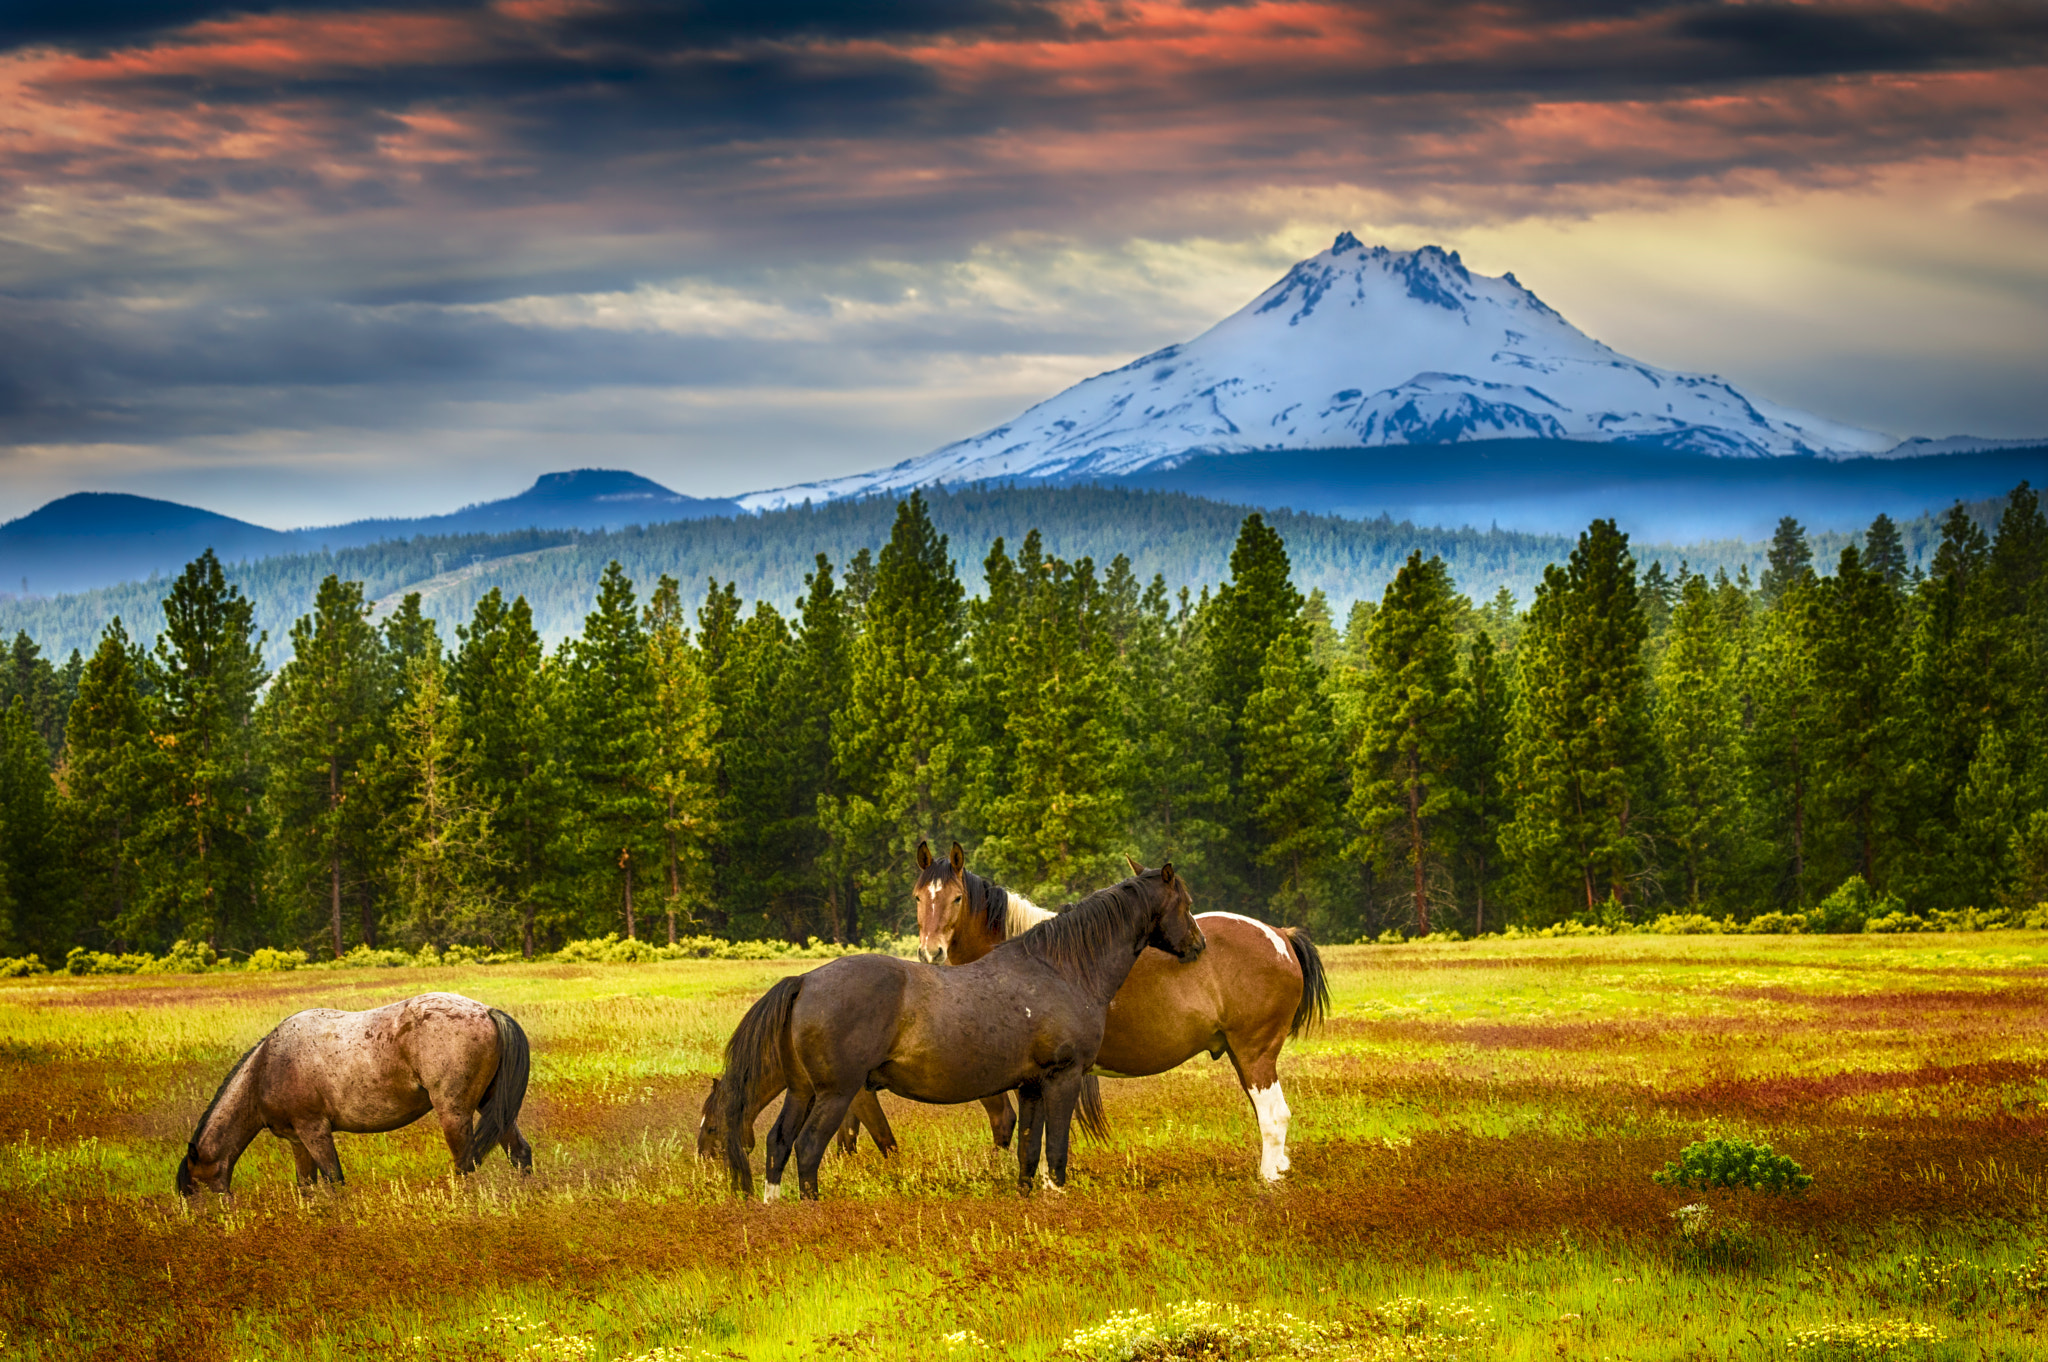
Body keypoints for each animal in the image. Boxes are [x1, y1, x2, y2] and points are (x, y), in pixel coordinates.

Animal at [177, 987, 532, 1204]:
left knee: (466, 1165)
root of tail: (487, 1012)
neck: (267, 1066)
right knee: (519, 1153)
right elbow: (306, 1186)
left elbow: (334, 1180)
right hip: (492, 1106)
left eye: (194, 1189)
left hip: (454, 1113)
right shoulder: (298, 1141)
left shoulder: (314, 1131)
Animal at [720, 864, 1196, 1196]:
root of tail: (805, 981)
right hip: (834, 1094)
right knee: (807, 1149)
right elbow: (1056, 1155)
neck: (1060, 969)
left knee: (778, 1144)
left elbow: (1028, 1153)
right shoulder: (1063, 1079)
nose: (1198, 944)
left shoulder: (1031, 1086)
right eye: (1186, 903)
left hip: (801, 1092)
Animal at [913, 839, 1327, 1179]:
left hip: (1255, 1053)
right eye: (918, 897)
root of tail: (1281, 936)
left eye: (956, 898)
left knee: (1274, 1116)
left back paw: (1268, 1183)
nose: (931, 952)